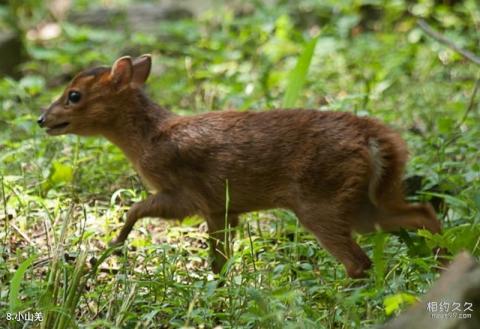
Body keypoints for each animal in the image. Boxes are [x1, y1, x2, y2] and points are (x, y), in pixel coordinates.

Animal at [39, 54, 440, 276]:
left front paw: (110, 249)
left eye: (74, 95)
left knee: (359, 261)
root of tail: (375, 138)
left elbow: (135, 210)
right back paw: (444, 260)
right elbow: (219, 261)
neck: (149, 140)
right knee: (422, 212)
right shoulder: (222, 208)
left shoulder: (188, 195)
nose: (43, 119)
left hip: (320, 200)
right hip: (362, 201)